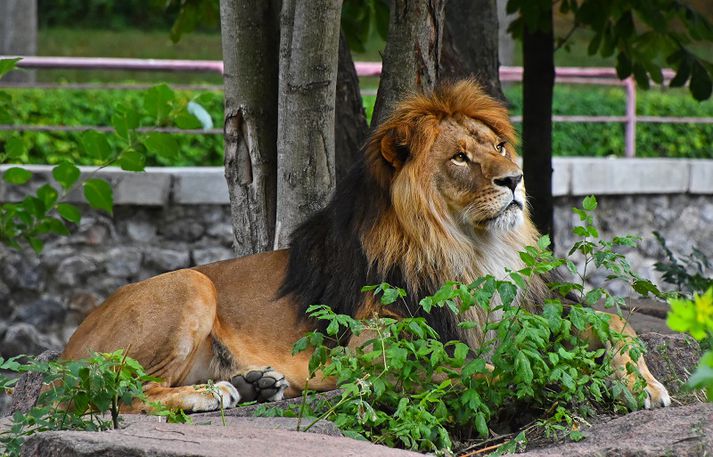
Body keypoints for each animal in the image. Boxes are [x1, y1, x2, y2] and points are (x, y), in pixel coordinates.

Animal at [61, 79, 668, 414]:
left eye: (497, 146)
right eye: (460, 157)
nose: (515, 179)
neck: (472, 250)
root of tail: (66, 351)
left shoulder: (528, 309)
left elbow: (611, 321)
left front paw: (642, 383)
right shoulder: (371, 350)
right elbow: (480, 368)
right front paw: (552, 376)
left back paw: (256, 384)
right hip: (190, 284)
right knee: (110, 392)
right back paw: (211, 395)